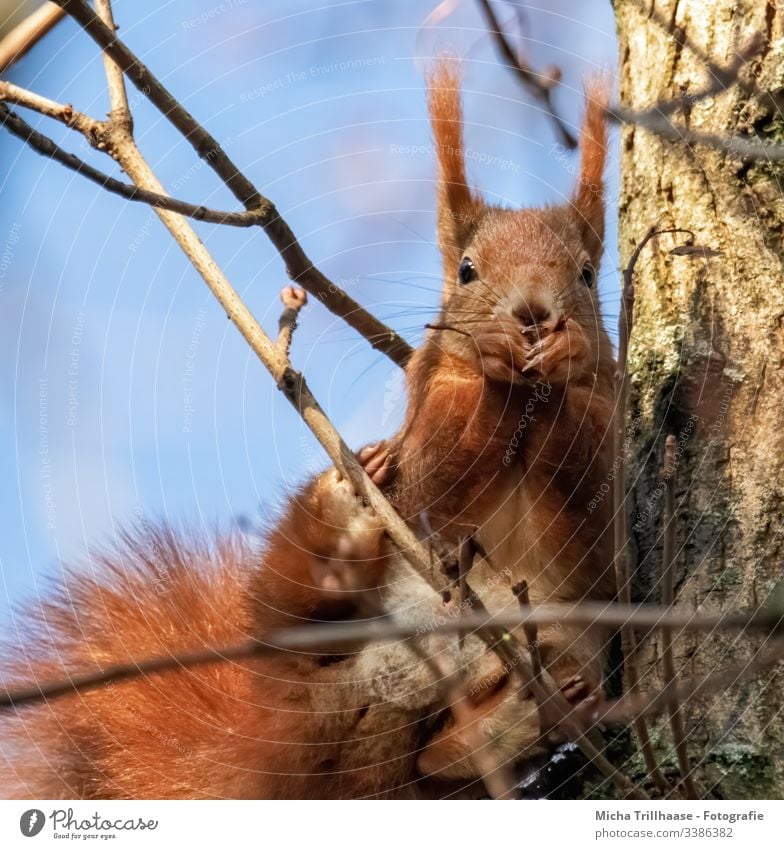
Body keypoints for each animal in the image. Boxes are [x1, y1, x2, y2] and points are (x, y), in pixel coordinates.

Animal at [0, 63, 616, 800]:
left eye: (587, 272)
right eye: (467, 269)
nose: (531, 314)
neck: (526, 410)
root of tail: (278, 750)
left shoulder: (609, 437)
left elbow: (597, 493)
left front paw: (560, 354)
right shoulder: (424, 412)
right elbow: (435, 463)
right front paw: (494, 365)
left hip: (565, 640)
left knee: (436, 765)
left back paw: (506, 724)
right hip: (292, 632)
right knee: (292, 604)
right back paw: (342, 522)